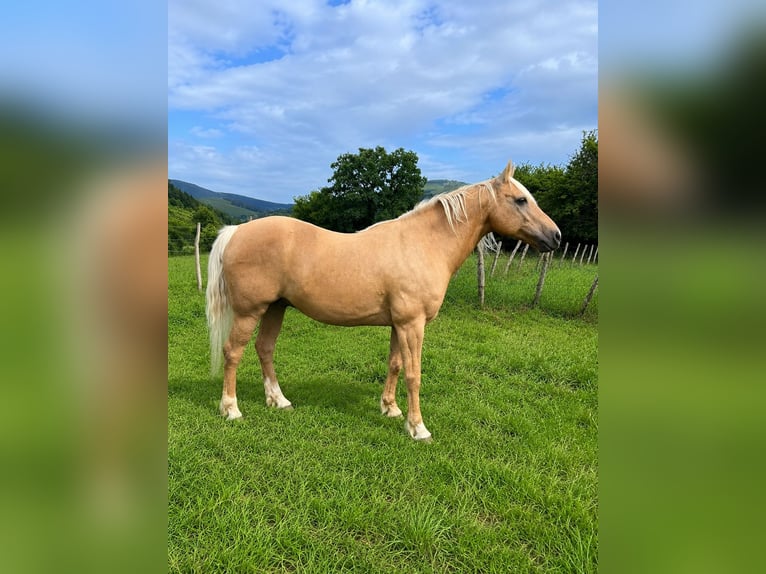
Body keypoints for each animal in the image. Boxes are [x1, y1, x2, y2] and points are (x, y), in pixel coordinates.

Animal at [205, 160, 561, 441]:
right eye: (520, 200)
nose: (556, 236)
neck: (424, 244)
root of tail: (236, 231)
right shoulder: (412, 324)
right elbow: (414, 374)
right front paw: (417, 428)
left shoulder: (398, 324)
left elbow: (395, 365)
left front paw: (390, 409)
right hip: (249, 311)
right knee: (233, 352)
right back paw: (231, 409)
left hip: (275, 308)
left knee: (264, 348)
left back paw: (278, 401)